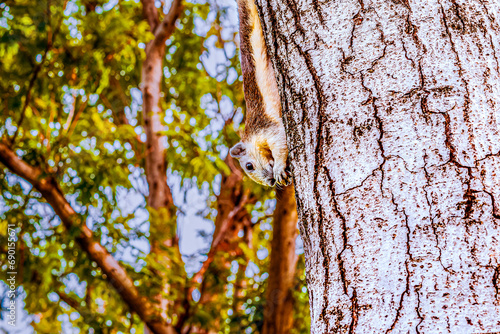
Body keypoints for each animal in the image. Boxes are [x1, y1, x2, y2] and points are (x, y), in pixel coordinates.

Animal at [229, 0, 292, 187]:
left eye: (249, 166)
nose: (270, 182)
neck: (251, 137)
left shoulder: (266, 128)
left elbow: (280, 142)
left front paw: (279, 169)